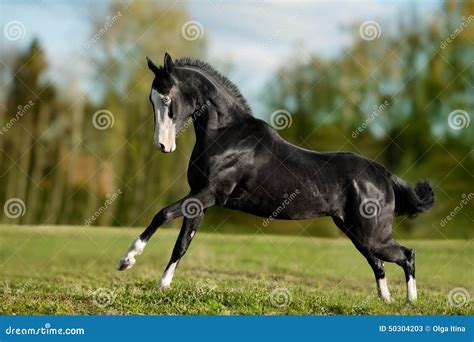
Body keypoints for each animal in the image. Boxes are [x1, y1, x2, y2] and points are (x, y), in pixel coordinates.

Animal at [117, 52, 434, 302]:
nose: (162, 146)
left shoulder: (209, 194)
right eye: (151, 99)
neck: (226, 135)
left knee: (407, 255)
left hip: (372, 235)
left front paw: (127, 260)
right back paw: (387, 301)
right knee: (379, 264)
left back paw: (410, 302)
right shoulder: (199, 200)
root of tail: (383, 174)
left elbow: (162, 214)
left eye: (167, 98)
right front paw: (162, 285)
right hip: (355, 232)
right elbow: (182, 243)